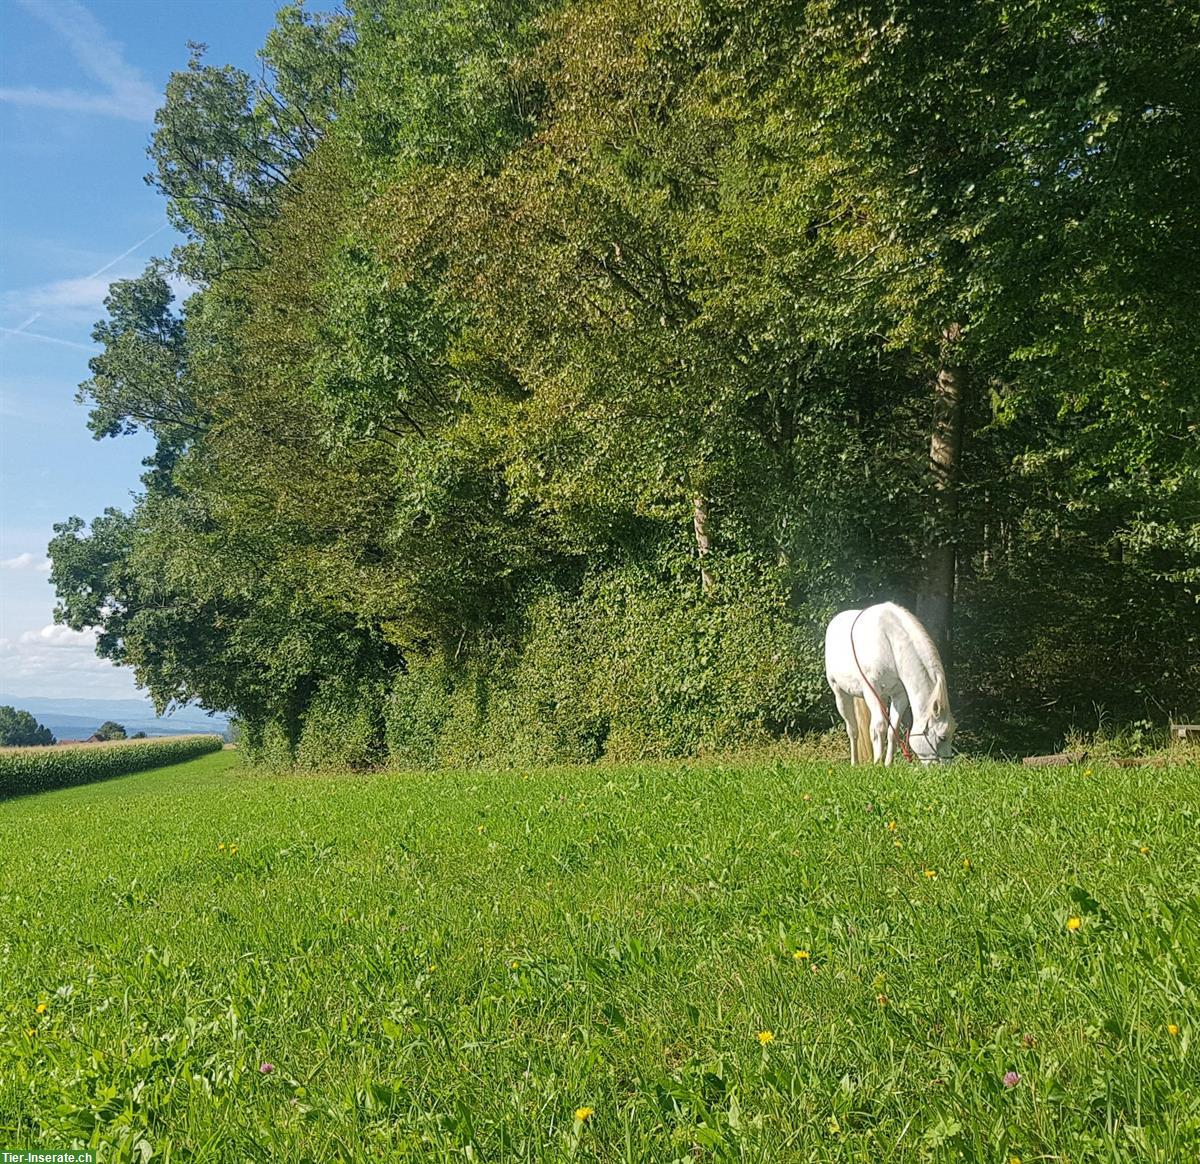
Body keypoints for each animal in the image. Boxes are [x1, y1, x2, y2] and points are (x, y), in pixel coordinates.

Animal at [825, 602, 955, 768]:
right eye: (942, 737)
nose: (945, 769)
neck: (890, 643)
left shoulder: (899, 695)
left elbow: (893, 730)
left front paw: (888, 764)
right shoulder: (872, 691)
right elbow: (879, 726)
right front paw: (877, 763)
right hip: (840, 693)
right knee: (853, 730)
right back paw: (854, 763)